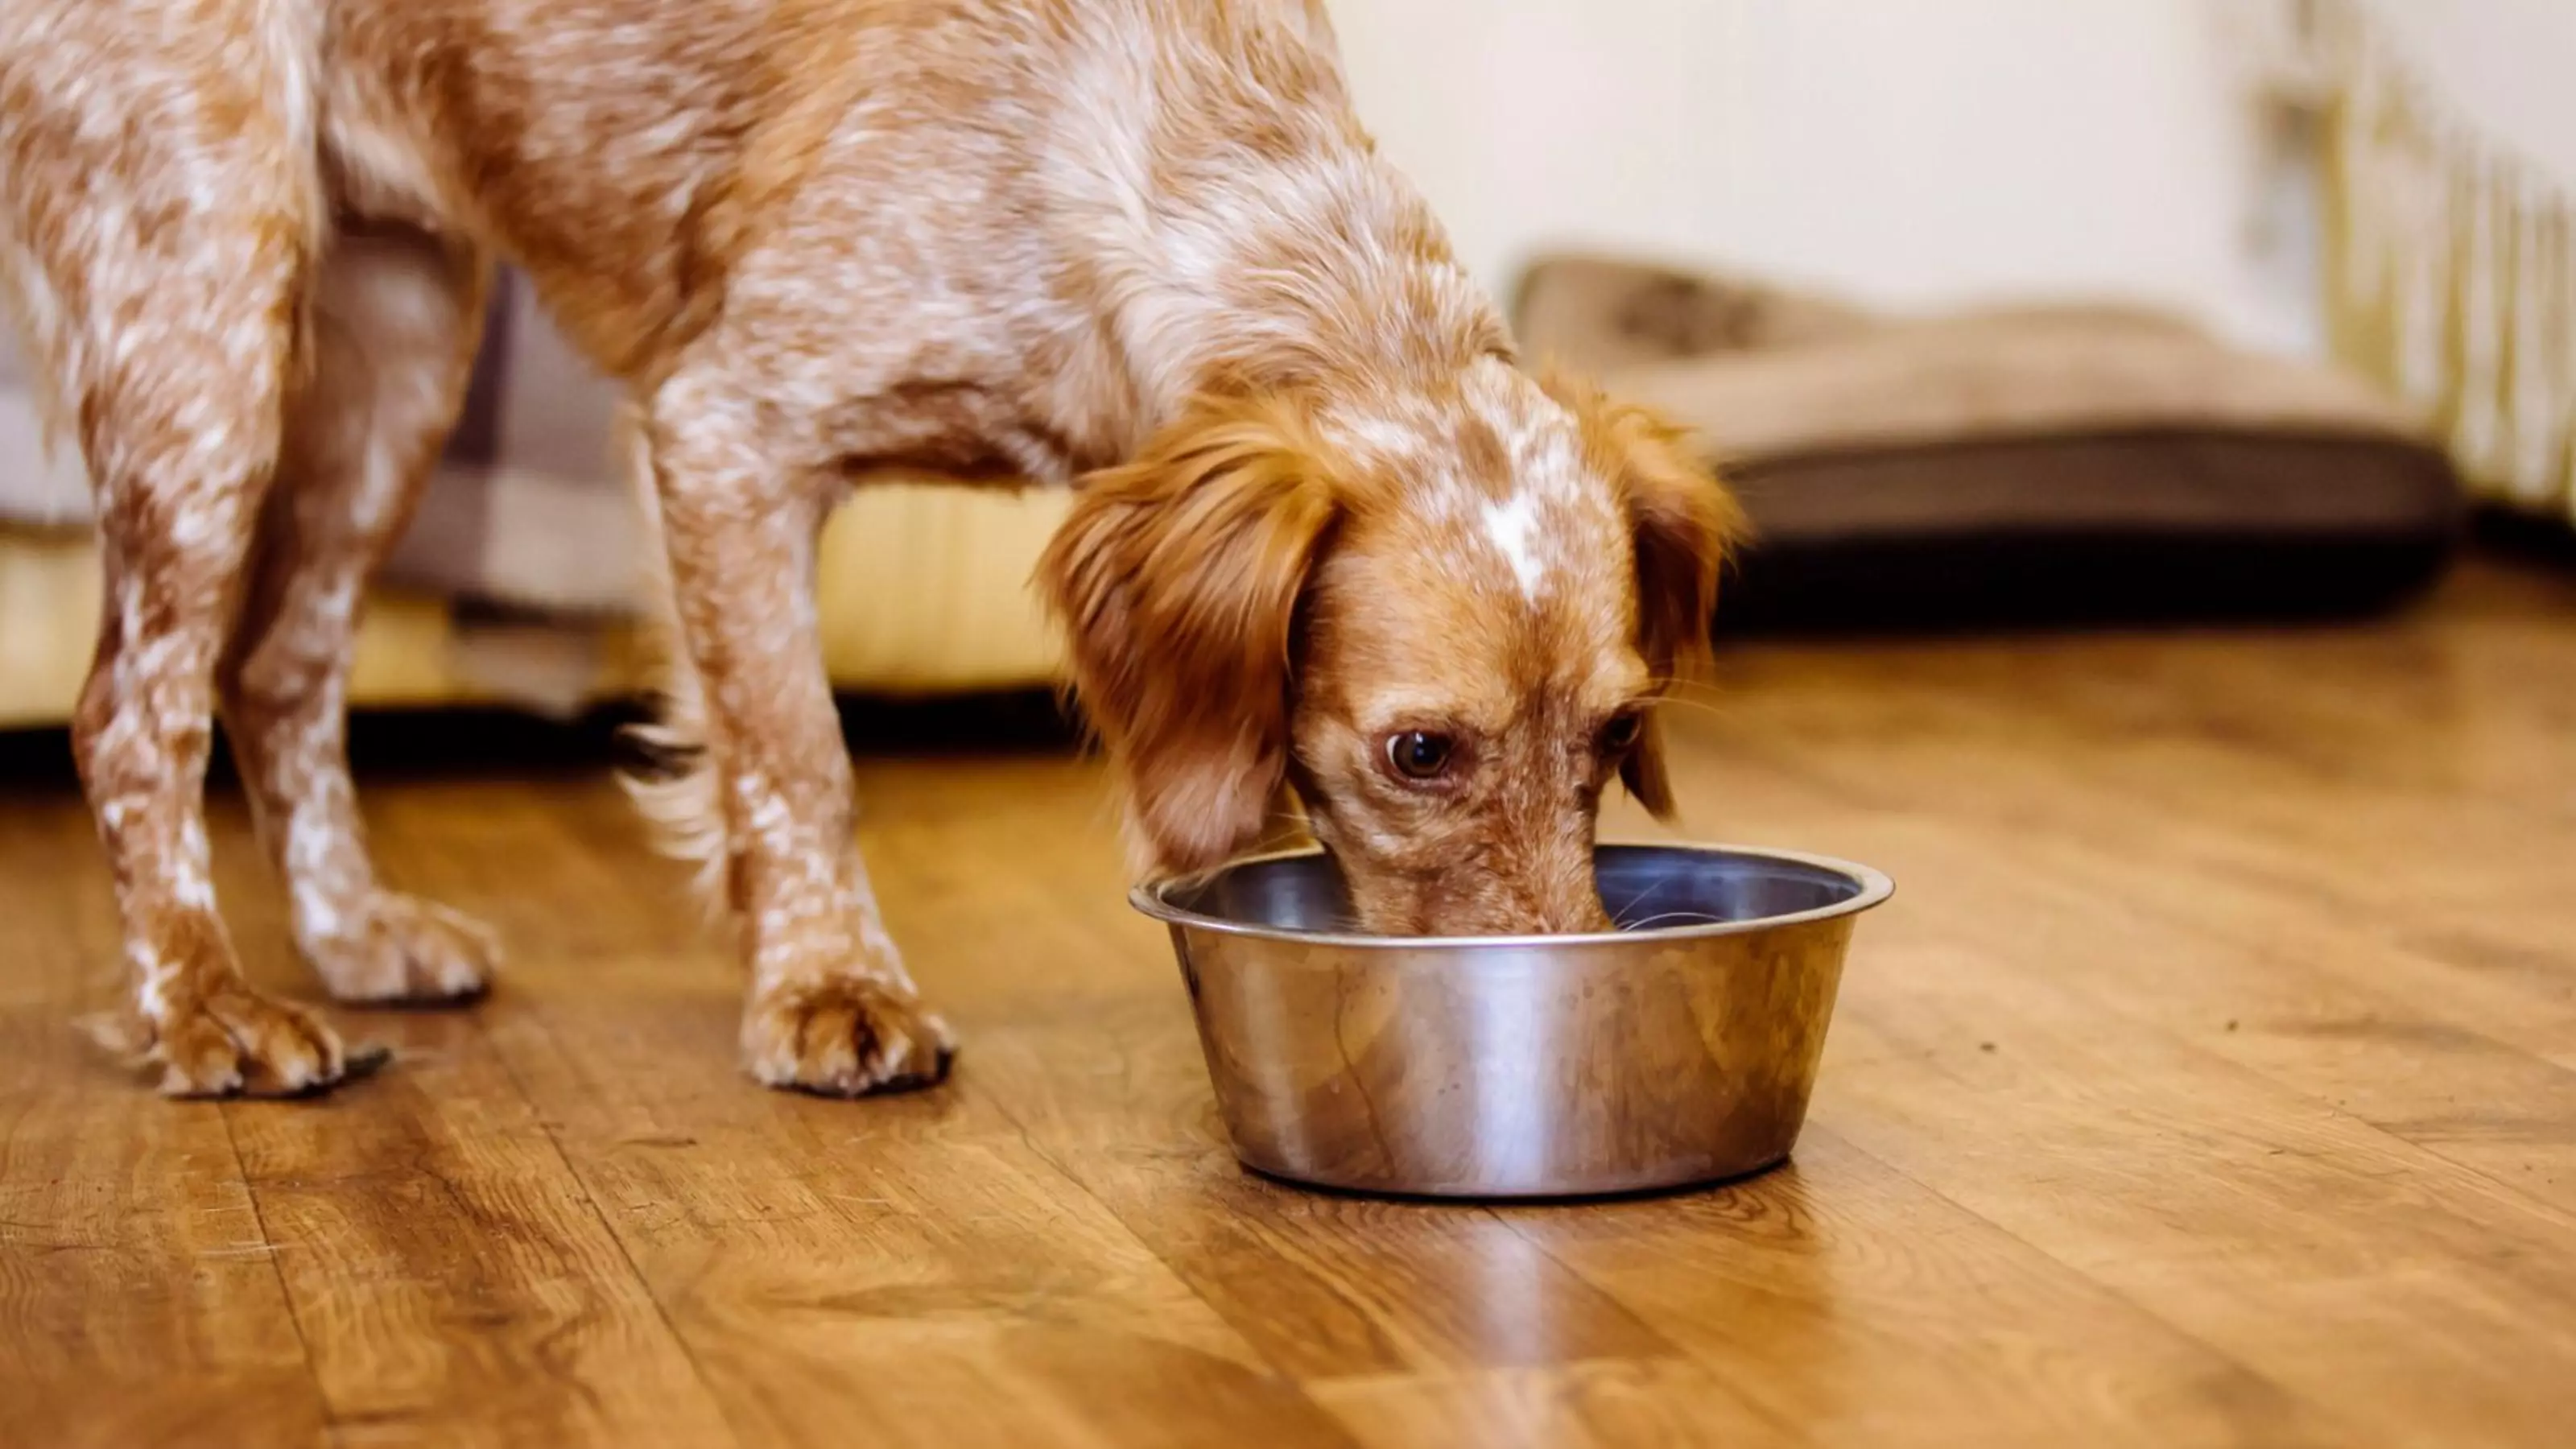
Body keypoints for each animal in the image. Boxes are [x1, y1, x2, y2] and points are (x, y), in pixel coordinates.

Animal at [0, 0, 1741, 1093]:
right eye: (1420, 752)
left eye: (1618, 735)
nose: (1570, 1004)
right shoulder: (725, 425)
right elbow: (794, 753)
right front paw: (829, 988)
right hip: (207, 296)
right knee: (133, 710)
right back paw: (205, 1005)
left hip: (401, 329)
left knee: (280, 668)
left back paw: (352, 937)